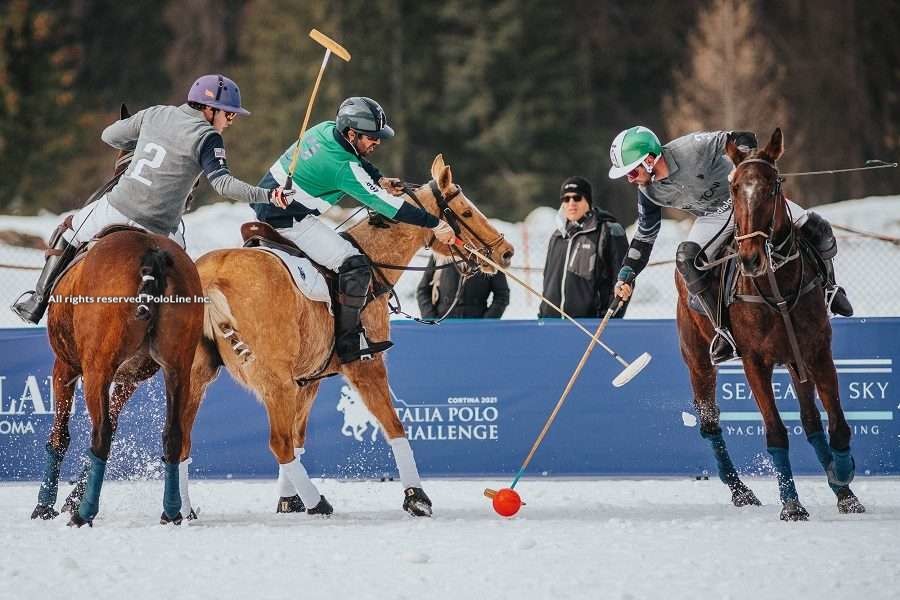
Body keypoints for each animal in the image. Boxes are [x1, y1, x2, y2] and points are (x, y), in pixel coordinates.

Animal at [30, 112, 204, 524]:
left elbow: (61, 436)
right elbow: (115, 421)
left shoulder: (67, 364)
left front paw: (46, 505)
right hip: (177, 367)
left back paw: (83, 515)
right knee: (172, 435)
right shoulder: (131, 378)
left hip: (96, 366)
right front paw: (70, 498)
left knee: (100, 435)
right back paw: (171, 512)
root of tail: (151, 253)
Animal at [181, 154, 512, 516]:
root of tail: (213, 279)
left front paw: (288, 500)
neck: (375, 261)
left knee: (181, 440)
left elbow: (300, 438)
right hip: (274, 380)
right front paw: (416, 498)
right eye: (465, 213)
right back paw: (319, 502)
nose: (506, 252)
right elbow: (394, 426)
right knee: (278, 443)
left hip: (197, 374)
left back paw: (182, 511)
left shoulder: (309, 379)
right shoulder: (366, 364)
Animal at [680, 127, 860, 520]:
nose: (750, 259)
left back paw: (838, 484)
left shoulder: (817, 351)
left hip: (795, 361)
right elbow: (776, 432)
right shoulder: (754, 362)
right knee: (709, 423)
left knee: (811, 421)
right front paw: (791, 504)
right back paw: (740, 491)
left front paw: (843, 479)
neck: (777, 285)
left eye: (774, 185)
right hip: (698, 359)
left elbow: (837, 425)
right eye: (734, 188)